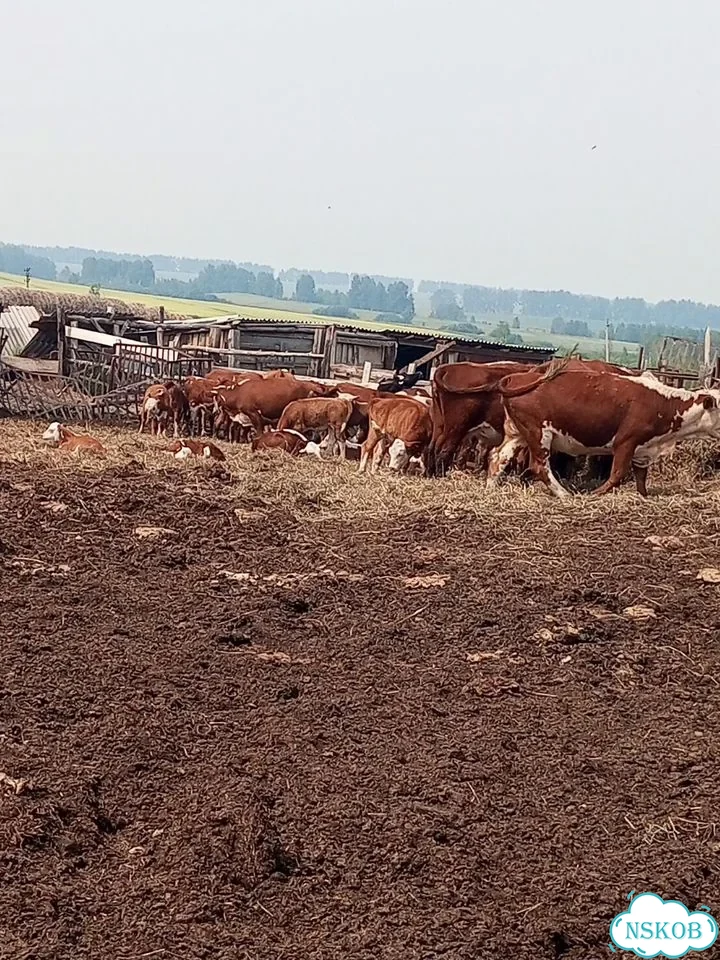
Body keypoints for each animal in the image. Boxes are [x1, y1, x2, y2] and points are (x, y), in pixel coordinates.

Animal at [491, 365, 720, 497]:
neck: (665, 404)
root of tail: (519, 377)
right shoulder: (626, 441)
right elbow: (617, 474)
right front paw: (594, 494)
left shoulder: (644, 450)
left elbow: (641, 477)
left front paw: (644, 496)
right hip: (539, 433)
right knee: (539, 466)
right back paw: (565, 494)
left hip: (517, 433)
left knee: (498, 456)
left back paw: (490, 488)